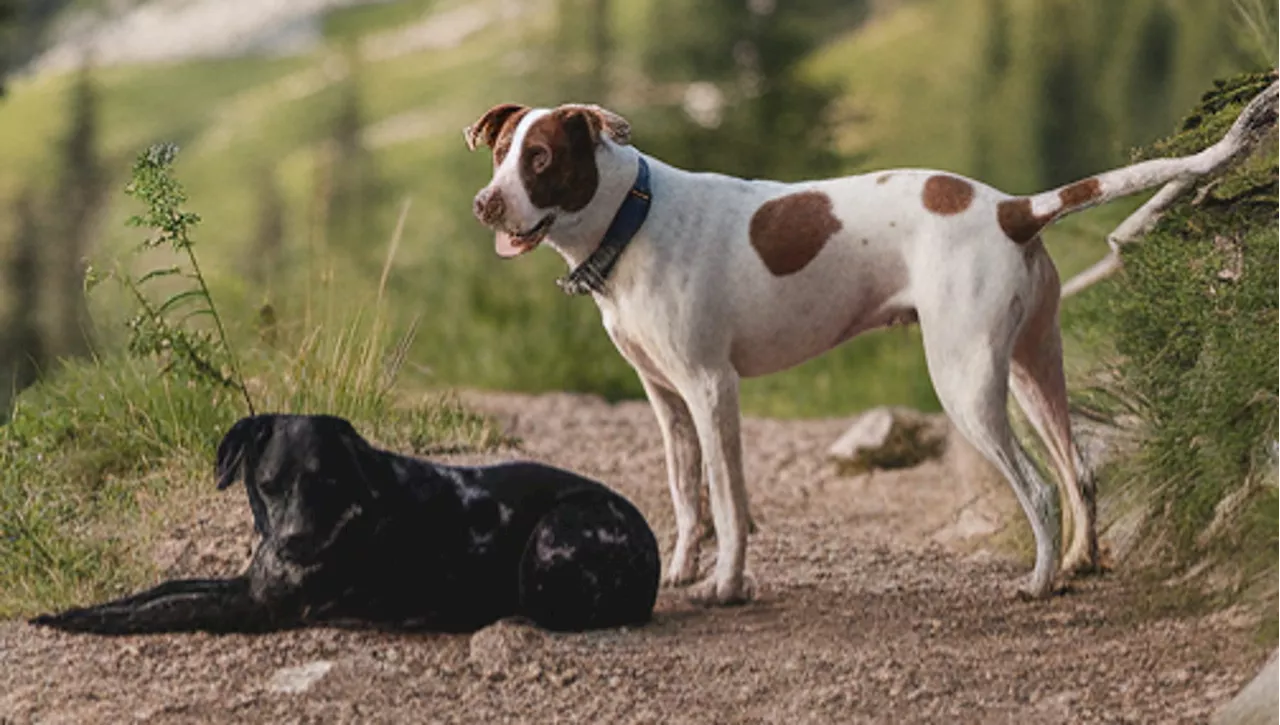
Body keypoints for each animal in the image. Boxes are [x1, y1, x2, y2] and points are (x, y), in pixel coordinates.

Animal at [32, 415, 660, 635]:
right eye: (269, 484)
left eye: (326, 481)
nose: (294, 543)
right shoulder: (246, 583)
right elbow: (162, 589)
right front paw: (78, 609)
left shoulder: (254, 606)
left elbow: (166, 610)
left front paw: (86, 624)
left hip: (549, 542)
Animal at [465, 86, 1280, 607]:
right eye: (499, 152)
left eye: (540, 159)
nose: (485, 203)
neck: (633, 219)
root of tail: (1012, 208)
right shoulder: (667, 401)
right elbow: (687, 495)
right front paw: (684, 572)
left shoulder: (710, 387)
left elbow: (727, 499)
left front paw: (728, 585)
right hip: (1031, 368)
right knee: (1076, 471)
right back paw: (1080, 564)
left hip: (966, 385)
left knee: (1041, 488)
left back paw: (1041, 582)